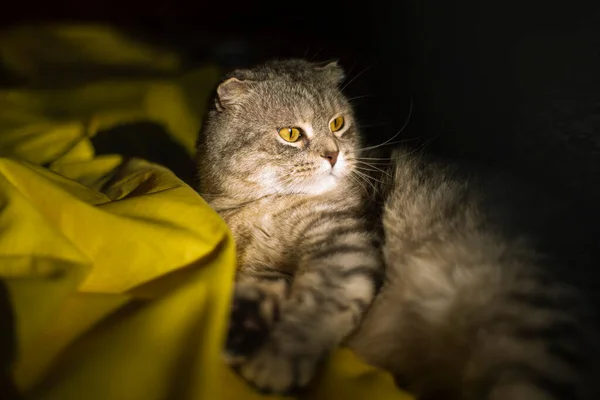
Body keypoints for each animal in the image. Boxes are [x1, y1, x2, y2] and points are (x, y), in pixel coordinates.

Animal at [195, 59, 596, 400]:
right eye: (291, 133)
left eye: (338, 124)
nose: (333, 155)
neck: (264, 206)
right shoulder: (262, 267)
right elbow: (252, 296)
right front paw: (234, 337)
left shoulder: (345, 247)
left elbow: (316, 308)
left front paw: (276, 361)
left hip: (533, 328)